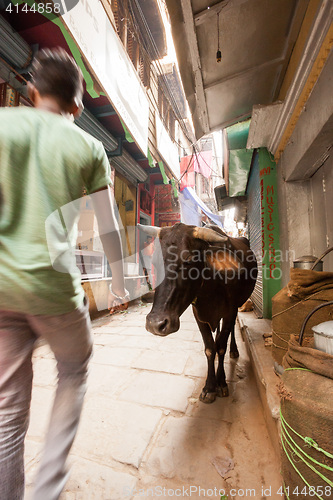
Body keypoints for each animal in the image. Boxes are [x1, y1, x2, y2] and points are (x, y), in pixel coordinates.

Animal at [138, 225, 256, 404]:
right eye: (154, 262)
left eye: (188, 260)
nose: (155, 324)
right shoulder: (198, 315)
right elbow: (210, 348)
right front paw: (209, 387)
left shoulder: (230, 311)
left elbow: (220, 346)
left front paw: (221, 382)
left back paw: (234, 350)